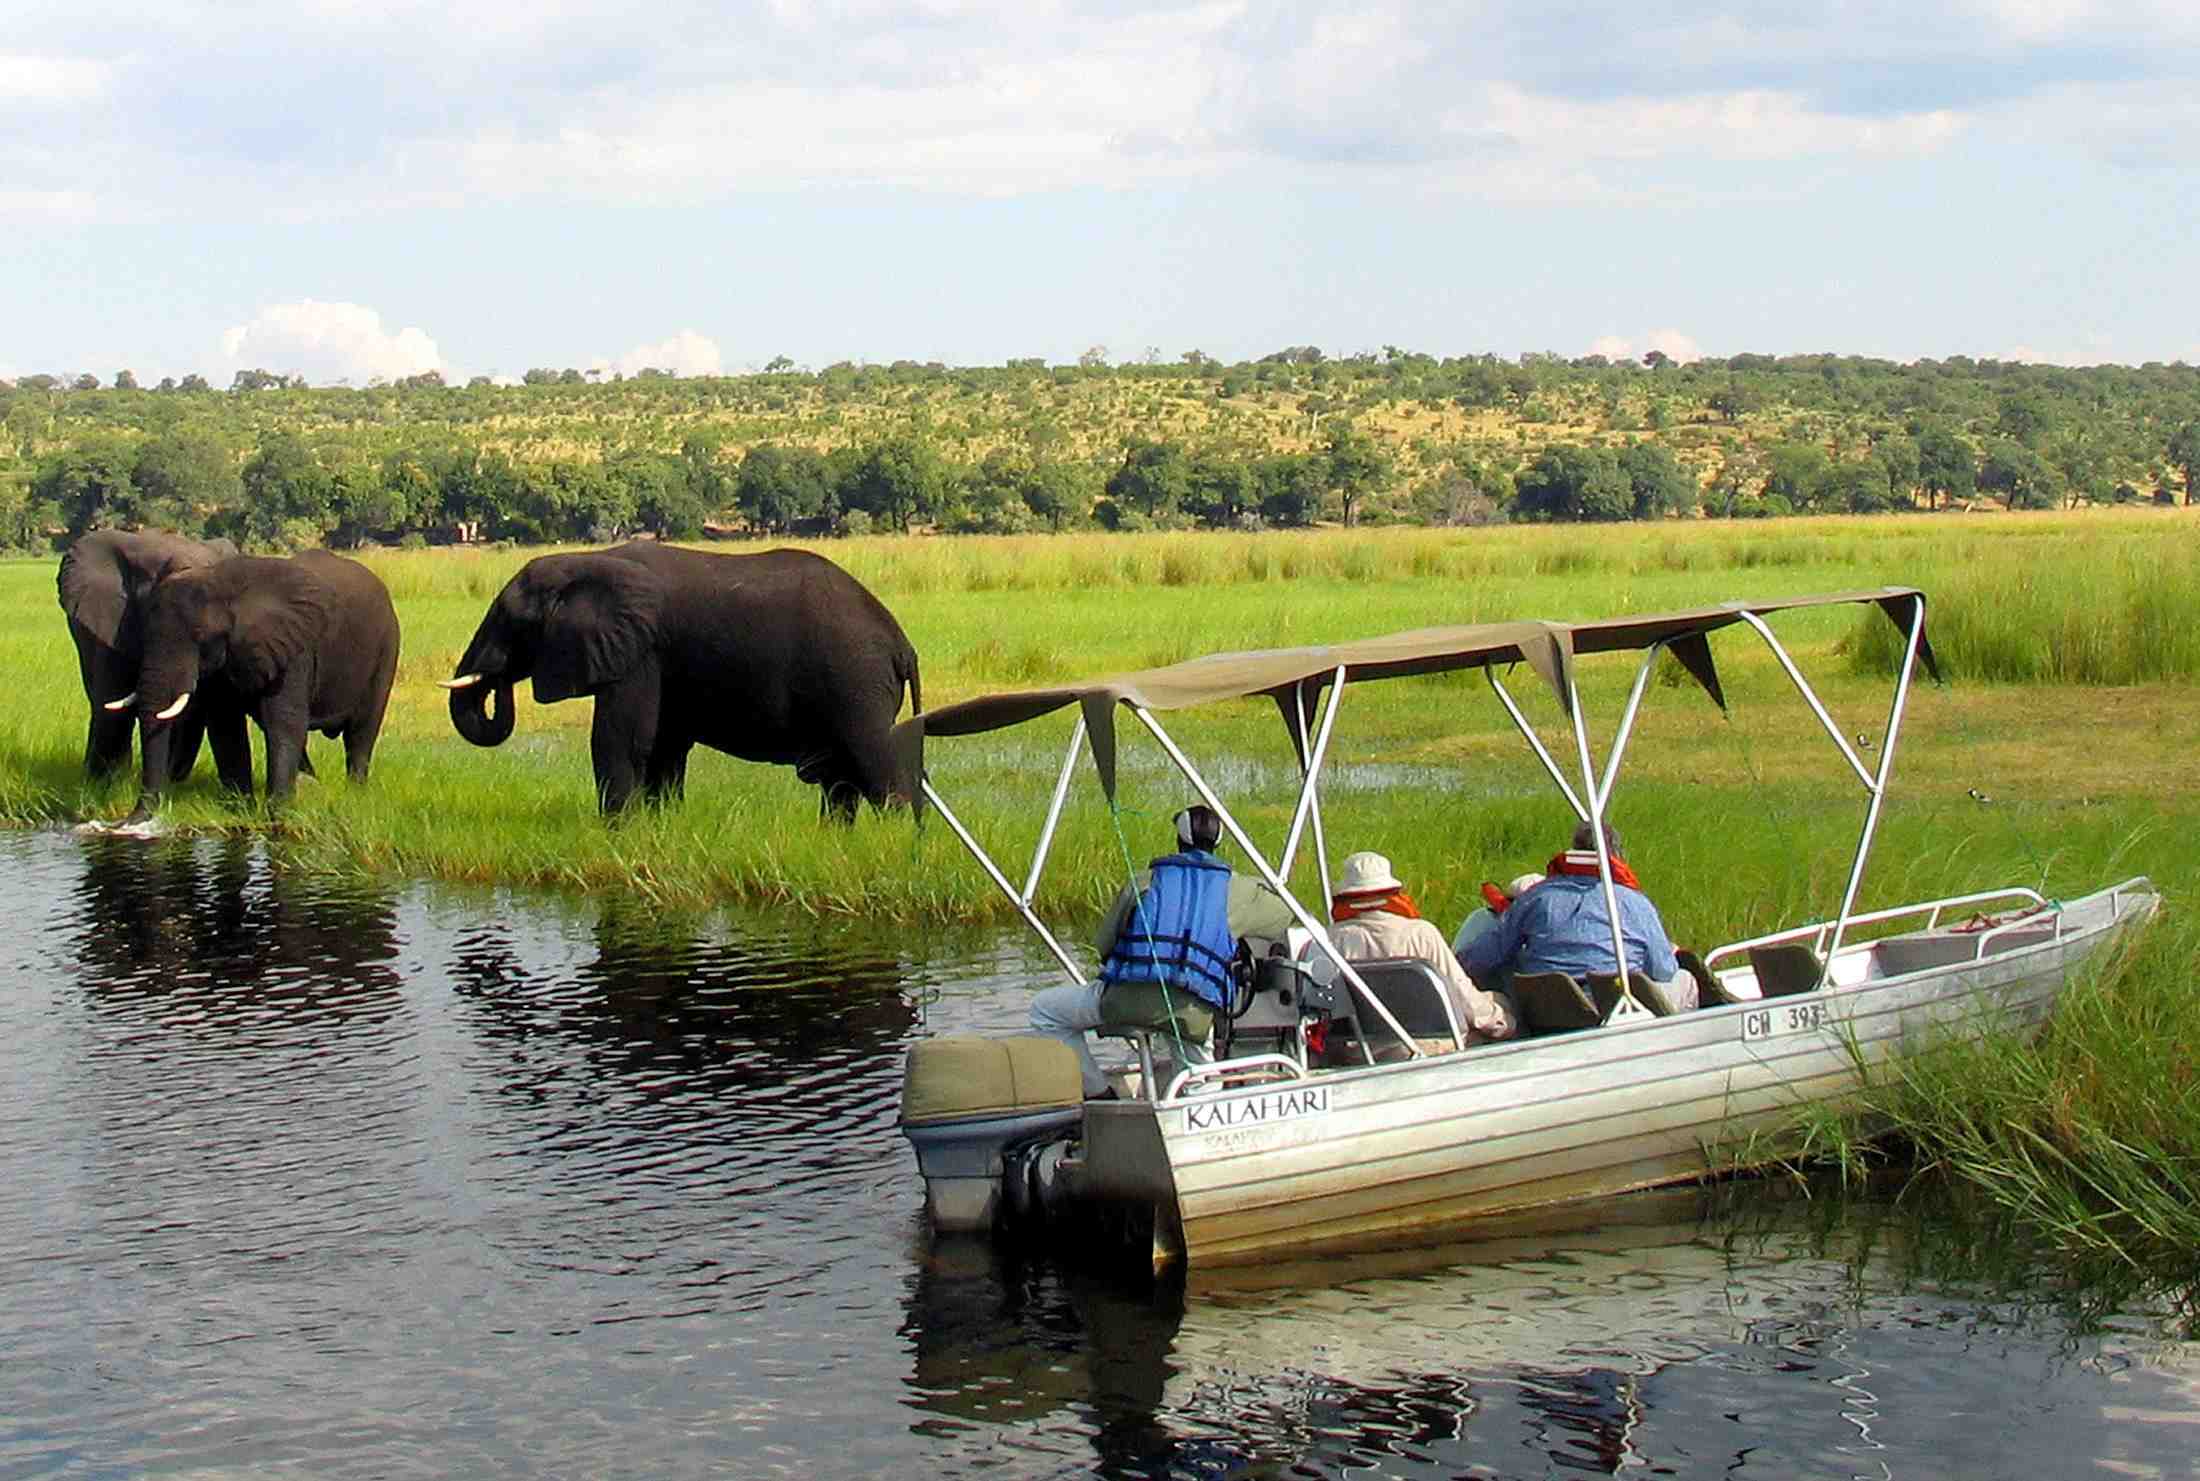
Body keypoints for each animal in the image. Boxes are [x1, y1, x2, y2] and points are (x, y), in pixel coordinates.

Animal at [120, 549, 401, 817]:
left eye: (200, 637)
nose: (132, 820)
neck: (221, 582)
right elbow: (225, 724)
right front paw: (242, 809)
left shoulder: (294, 648)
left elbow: (283, 721)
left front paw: (276, 814)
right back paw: (311, 785)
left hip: (387, 647)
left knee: (362, 731)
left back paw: (355, 792)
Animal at [443, 541, 922, 819]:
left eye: (510, 619)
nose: (499, 678)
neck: (584, 559)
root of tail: (903, 645)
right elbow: (663, 746)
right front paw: (660, 827)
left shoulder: (640, 651)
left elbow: (622, 741)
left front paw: (617, 832)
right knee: (841, 781)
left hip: (857, 682)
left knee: (874, 765)